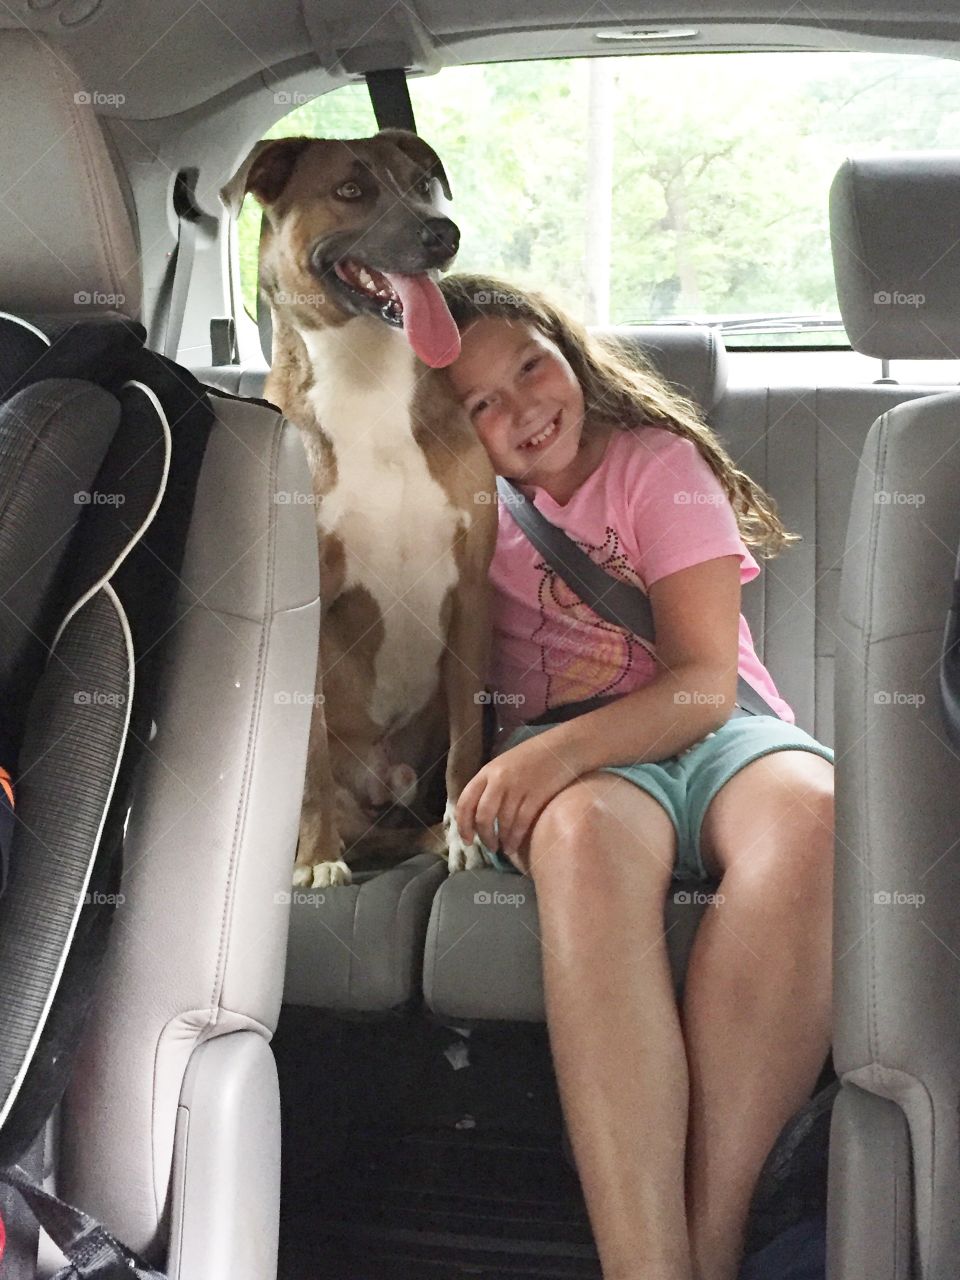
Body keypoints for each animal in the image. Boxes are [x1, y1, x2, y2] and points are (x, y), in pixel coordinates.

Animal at [222, 132, 499, 890]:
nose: (443, 233)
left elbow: (469, 735)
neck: (369, 380)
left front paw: (466, 834)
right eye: (350, 190)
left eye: (422, 182)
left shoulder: (471, 589)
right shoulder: (308, 606)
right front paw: (318, 860)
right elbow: (311, 758)